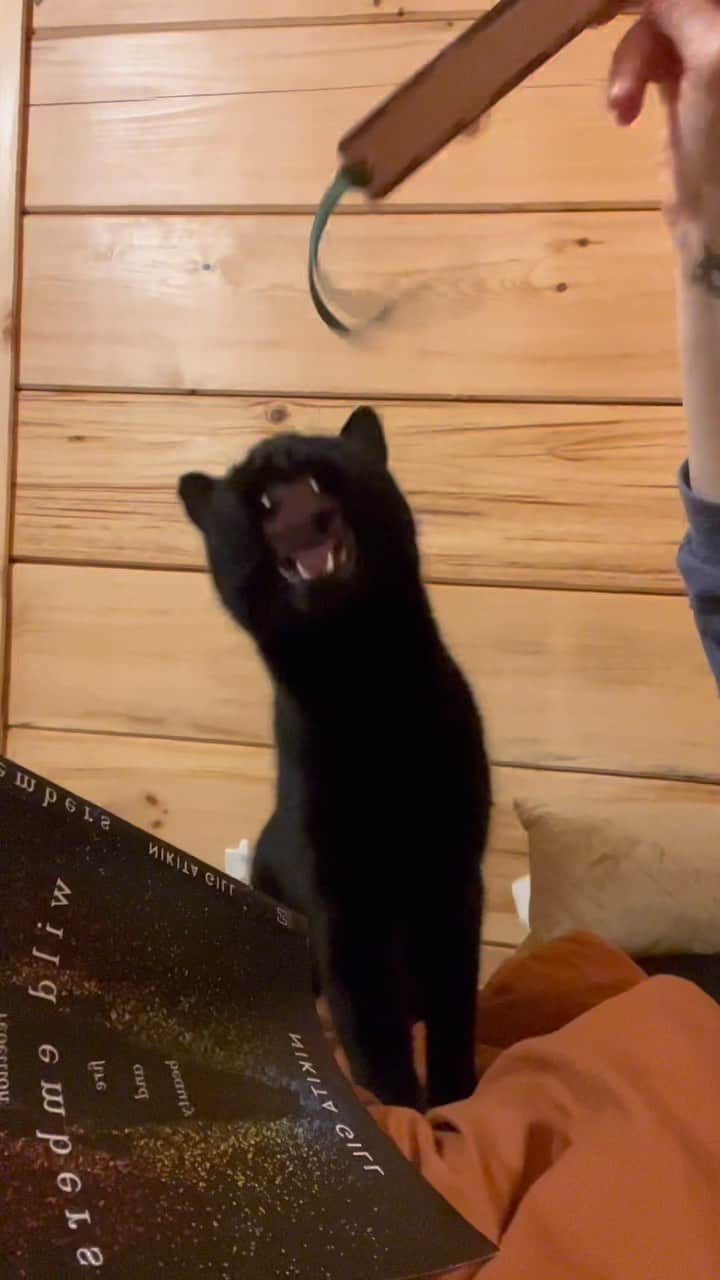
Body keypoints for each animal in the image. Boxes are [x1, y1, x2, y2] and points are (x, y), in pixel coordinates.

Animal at [179, 409, 489, 1111]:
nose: (295, 506)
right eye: (263, 502)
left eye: (321, 477)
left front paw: (455, 1101)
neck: (363, 684)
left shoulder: (452, 876)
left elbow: (453, 1011)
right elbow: (369, 1022)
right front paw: (399, 1110)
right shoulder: (342, 898)